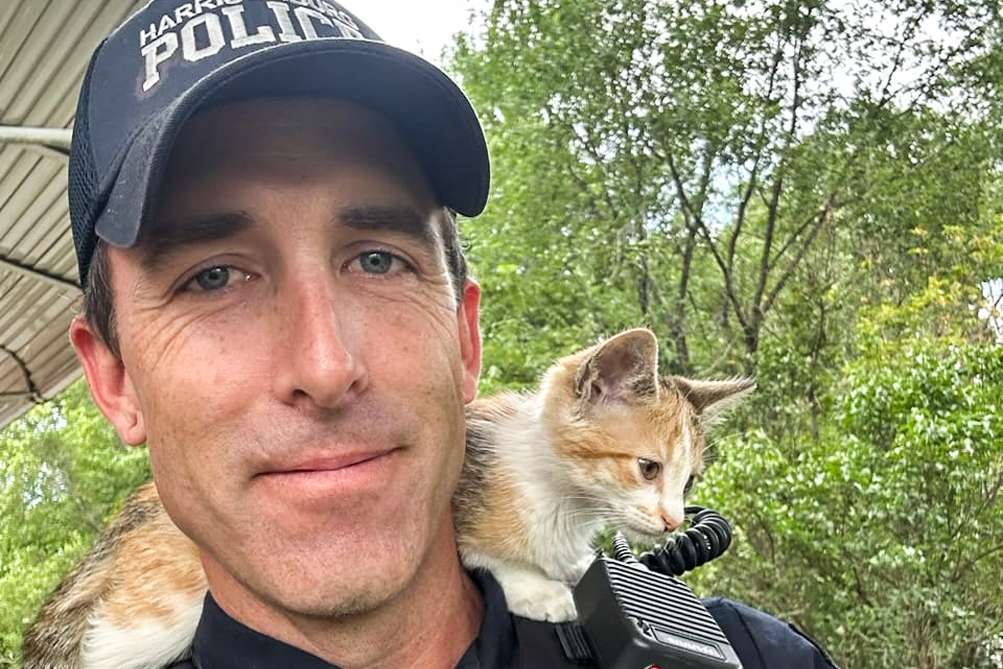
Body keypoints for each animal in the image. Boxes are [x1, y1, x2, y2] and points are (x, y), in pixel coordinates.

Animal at [21, 328, 754, 669]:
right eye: (646, 467)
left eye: (688, 481)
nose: (670, 519)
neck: (558, 495)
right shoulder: (445, 511)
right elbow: (491, 555)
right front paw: (544, 590)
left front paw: (582, 572)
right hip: (151, 615)